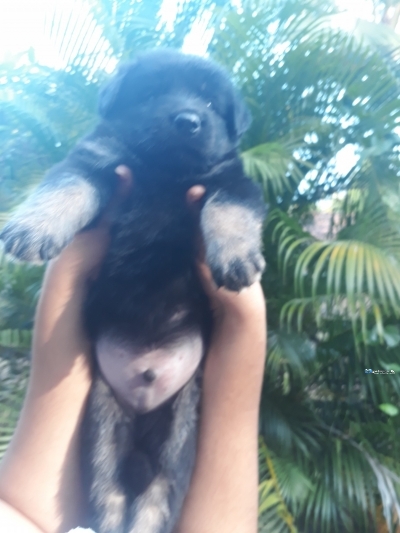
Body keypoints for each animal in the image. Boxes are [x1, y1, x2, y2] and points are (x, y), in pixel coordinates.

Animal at [0, 50, 266, 532]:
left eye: (210, 102)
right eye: (152, 91)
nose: (187, 121)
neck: (163, 172)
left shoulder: (233, 180)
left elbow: (229, 208)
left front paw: (237, 256)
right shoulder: (95, 159)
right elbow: (66, 186)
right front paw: (34, 227)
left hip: (179, 439)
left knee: (155, 499)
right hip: (104, 430)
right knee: (110, 495)